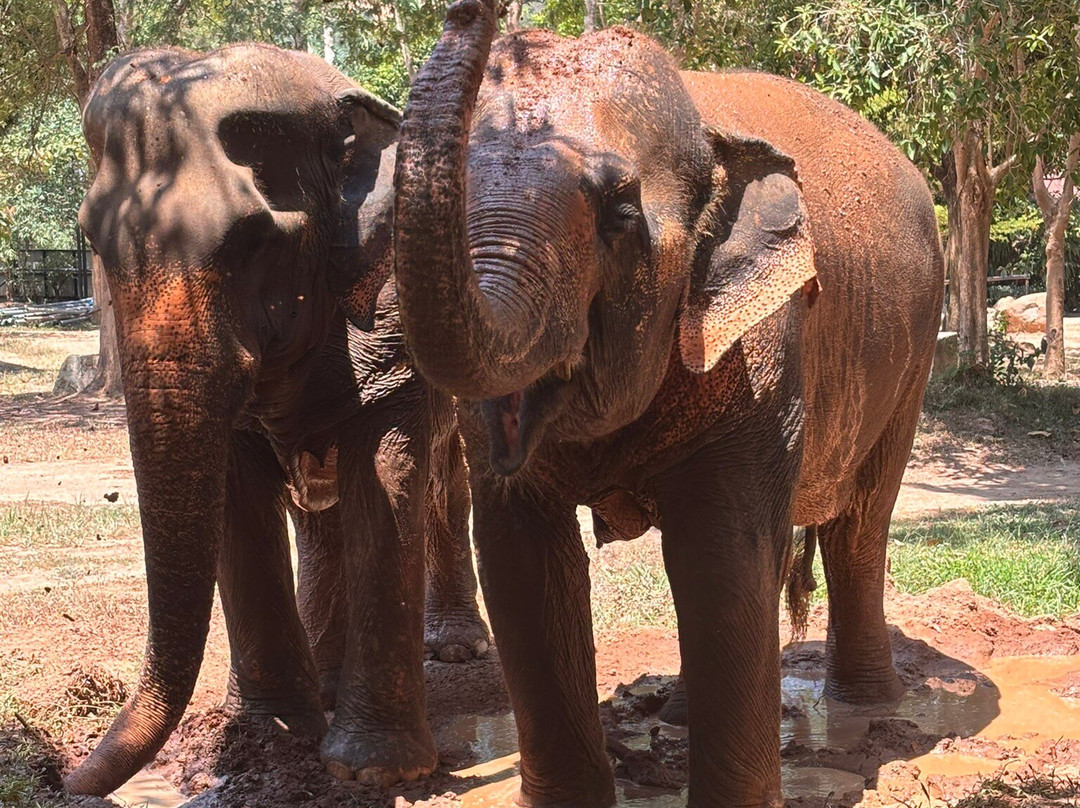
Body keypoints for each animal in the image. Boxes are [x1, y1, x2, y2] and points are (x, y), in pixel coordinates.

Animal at [64, 44, 489, 796]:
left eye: (253, 240)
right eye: (94, 240)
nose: (67, 784)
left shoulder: (395, 315)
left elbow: (388, 470)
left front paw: (371, 770)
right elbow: (239, 498)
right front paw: (266, 737)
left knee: (447, 478)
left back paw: (457, 647)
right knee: (321, 517)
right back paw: (324, 681)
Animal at [390, 3, 943, 807]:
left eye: (621, 213)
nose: (477, 13)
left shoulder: (759, 349)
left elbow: (721, 552)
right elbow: (524, 559)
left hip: (918, 345)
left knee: (859, 523)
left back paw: (867, 706)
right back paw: (684, 713)